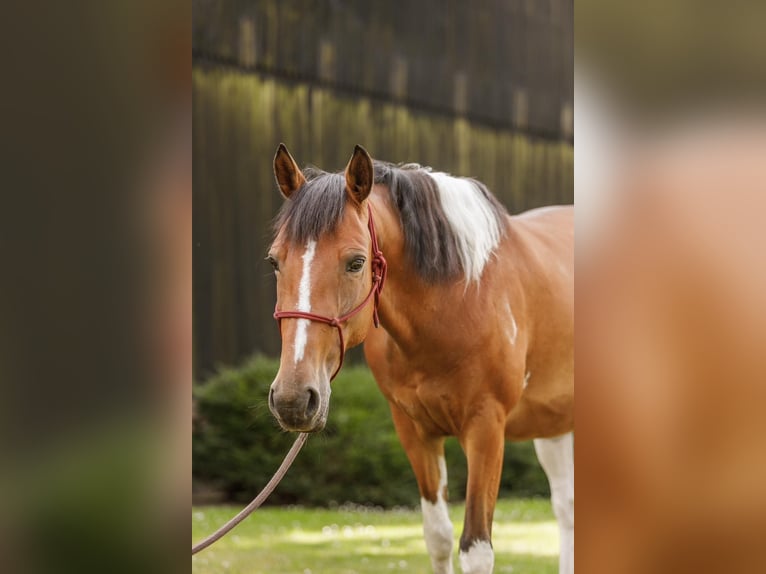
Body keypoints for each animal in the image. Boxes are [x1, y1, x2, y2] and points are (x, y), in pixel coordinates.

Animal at [268, 145, 572, 574]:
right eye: (274, 261)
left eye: (356, 262)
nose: (293, 399)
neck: (459, 298)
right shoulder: (415, 431)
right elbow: (438, 537)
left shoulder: (486, 429)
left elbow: (476, 549)